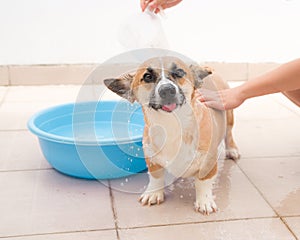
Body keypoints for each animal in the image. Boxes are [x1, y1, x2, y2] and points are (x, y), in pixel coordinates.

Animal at [103, 57, 239, 215]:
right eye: (147, 76)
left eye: (179, 72)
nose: (167, 90)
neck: (172, 125)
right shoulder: (152, 159)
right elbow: (155, 177)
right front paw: (153, 193)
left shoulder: (208, 161)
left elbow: (203, 183)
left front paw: (204, 201)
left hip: (228, 114)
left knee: (229, 133)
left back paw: (232, 150)